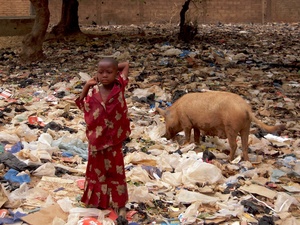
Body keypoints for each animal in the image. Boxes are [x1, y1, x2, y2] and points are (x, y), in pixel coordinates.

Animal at [157, 90, 286, 161]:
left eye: (166, 120)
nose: (165, 136)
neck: (177, 112)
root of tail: (247, 109)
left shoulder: (186, 122)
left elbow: (188, 134)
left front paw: (184, 144)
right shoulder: (196, 125)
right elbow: (197, 134)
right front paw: (196, 144)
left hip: (231, 128)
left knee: (234, 145)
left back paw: (228, 160)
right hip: (246, 127)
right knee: (244, 145)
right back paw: (247, 161)